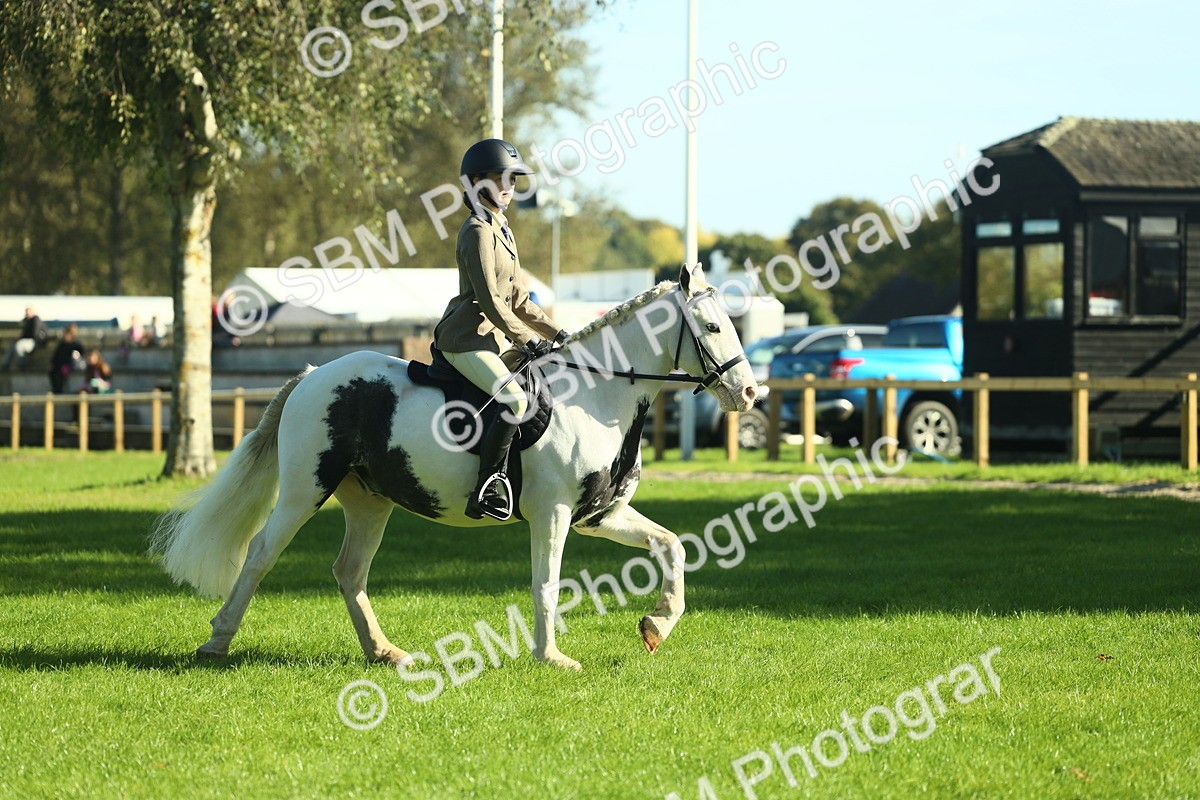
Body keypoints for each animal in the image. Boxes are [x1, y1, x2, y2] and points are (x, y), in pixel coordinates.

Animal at [149, 265, 760, 671]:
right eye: (711, 327)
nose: (750, 394)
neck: (597, 393)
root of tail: (313, 374)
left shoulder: (598, 515)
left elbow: (672, 546)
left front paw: (657, 626)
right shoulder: (554, 513)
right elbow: (546, 582)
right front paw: (551, 657)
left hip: (370, 501)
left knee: (350, 571)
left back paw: (384, 652)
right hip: (305, 489)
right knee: (260, 554)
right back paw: (216, 642)